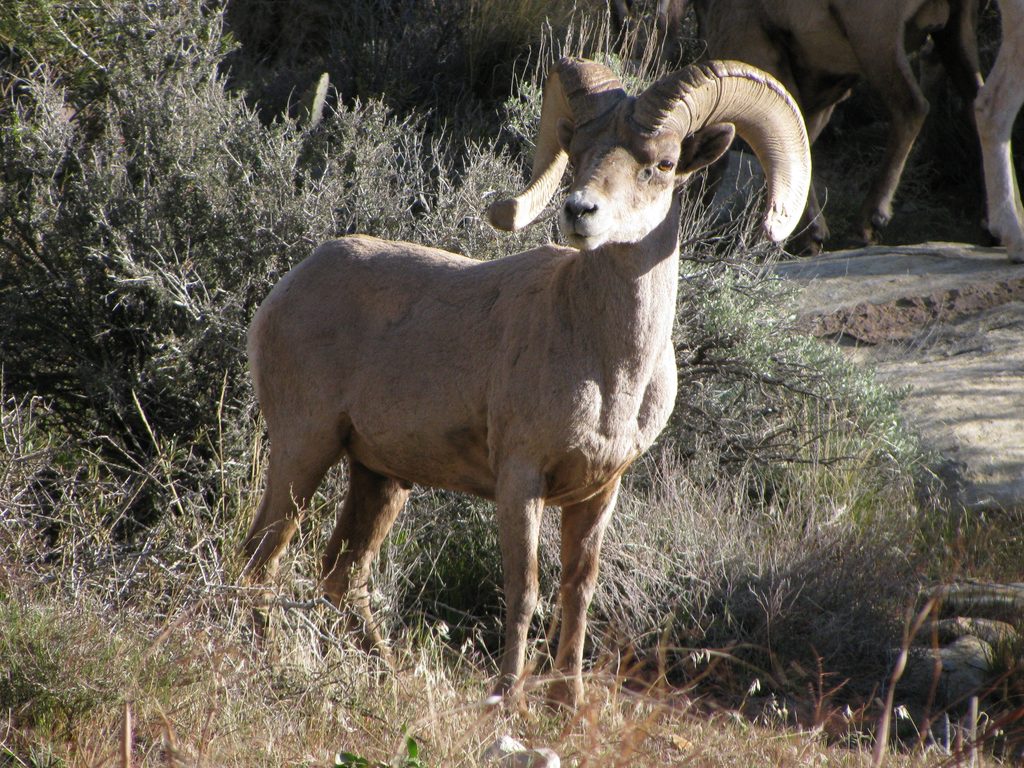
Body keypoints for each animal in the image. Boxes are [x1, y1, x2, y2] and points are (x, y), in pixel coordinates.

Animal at [239, 58, 806, 708]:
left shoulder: (598, 493)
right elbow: (525, 590)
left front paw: (568, 701)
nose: (580, 211)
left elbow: (577, 592)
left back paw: (392, 678)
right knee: (259, 562)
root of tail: (287, 288)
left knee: (342, 576)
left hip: (381, 478)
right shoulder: (520, 480)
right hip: (305, 450)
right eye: (577, 150)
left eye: (661, 164)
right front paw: (507, 698)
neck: (609, 369)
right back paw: (266, 666)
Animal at [671, 0, 983, 253]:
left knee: (912, 107)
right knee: (977, 102)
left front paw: (806, 237)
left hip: (876, 40)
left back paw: (868, 223)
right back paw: (989, 223)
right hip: (954, 32)